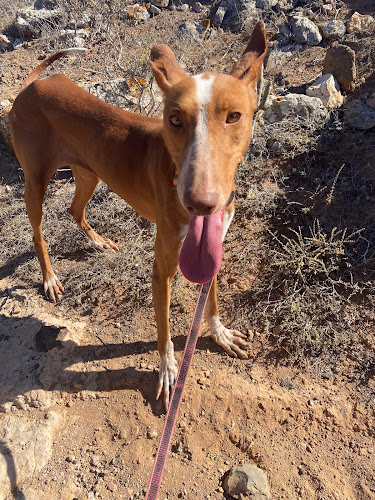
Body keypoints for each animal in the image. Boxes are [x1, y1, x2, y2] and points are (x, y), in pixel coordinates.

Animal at [8, 21, 268, 408]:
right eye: (174, 120)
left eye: (234, 116)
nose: (199, 203)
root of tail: (32, 86)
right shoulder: (162, 270)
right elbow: (164, 330)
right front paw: (168, 371)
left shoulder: (212, 246)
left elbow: (210, 301)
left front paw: (220, 334)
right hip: (36, 181)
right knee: (38, 231)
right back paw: (50, 279)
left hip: (89, 172)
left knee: (74, 208)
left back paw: (99, 243)